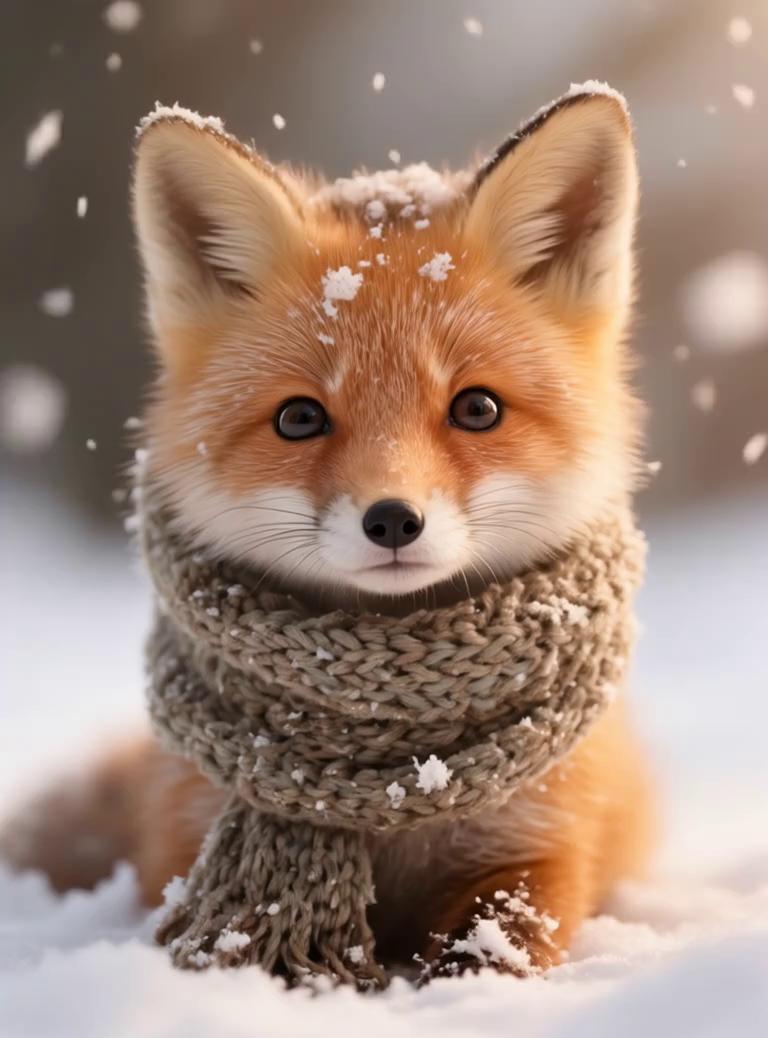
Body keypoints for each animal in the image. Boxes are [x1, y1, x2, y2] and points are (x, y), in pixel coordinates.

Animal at [1, 84, 654, 978]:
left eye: (477, 408)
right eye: (300, 418)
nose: (393, 519)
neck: (403, 785)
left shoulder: (543, 842)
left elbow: (499, 941)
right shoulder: (177, 841)